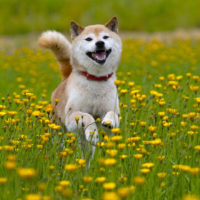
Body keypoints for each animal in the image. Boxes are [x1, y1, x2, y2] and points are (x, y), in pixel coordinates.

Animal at [38, 17, 121, 161]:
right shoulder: (72, 116)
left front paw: (108, 121)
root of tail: (65, 79)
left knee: (87, 156)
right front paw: (93, 132)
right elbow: (88, 116)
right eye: (88, 39)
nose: (100, 43)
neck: (96, 79)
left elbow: (112, 114)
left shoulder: (112, 116)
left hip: (86, 145)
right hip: (58, 131)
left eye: (105, 37)